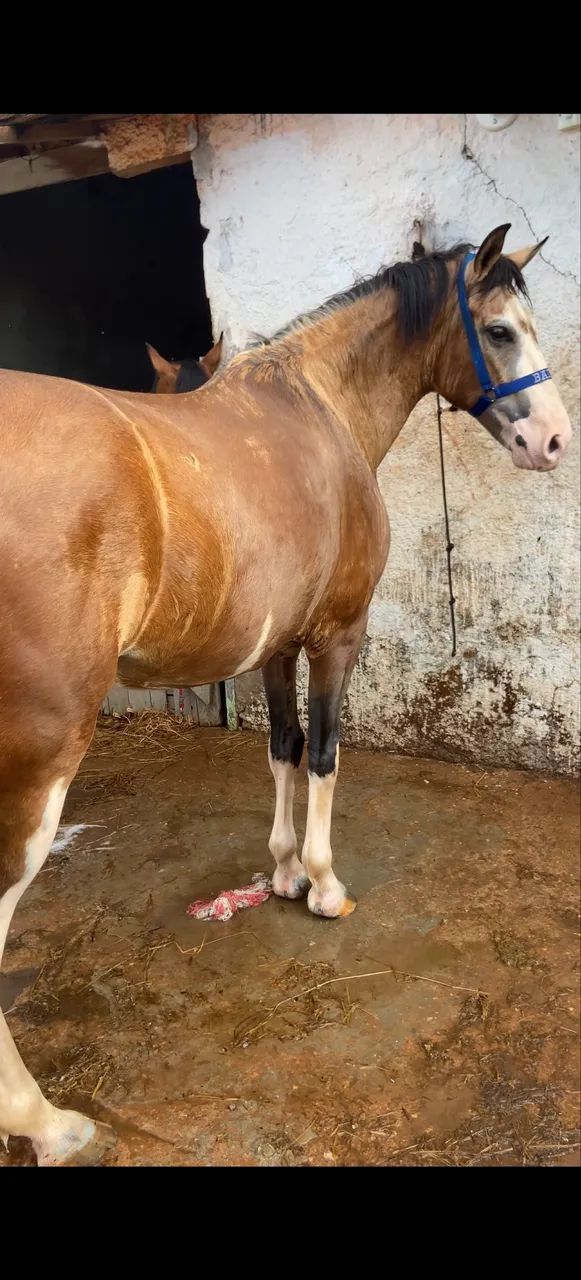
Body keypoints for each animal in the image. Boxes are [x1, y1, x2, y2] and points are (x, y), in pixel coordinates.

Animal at [0, 224, 572, 1165]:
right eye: (498, 330)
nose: (554, 443)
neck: (319, 409)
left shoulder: (273, 645)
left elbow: (282, 751)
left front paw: (280, 873)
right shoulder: (337, 636)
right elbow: (328, 755)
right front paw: (324, 885)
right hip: (41, 763)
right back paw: (49, 1123)